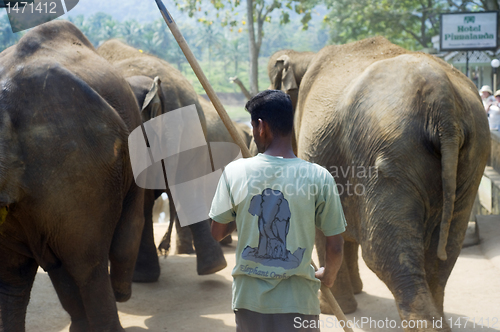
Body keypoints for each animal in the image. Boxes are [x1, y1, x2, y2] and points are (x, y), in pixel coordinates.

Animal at [268, 35, 490, 330]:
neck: (306, 55)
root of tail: (443, 101)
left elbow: (323, 224)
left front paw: (331, 308)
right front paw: (354, 295)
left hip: (389, 153)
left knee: (384, 253)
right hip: (471, 160)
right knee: (444, 253)